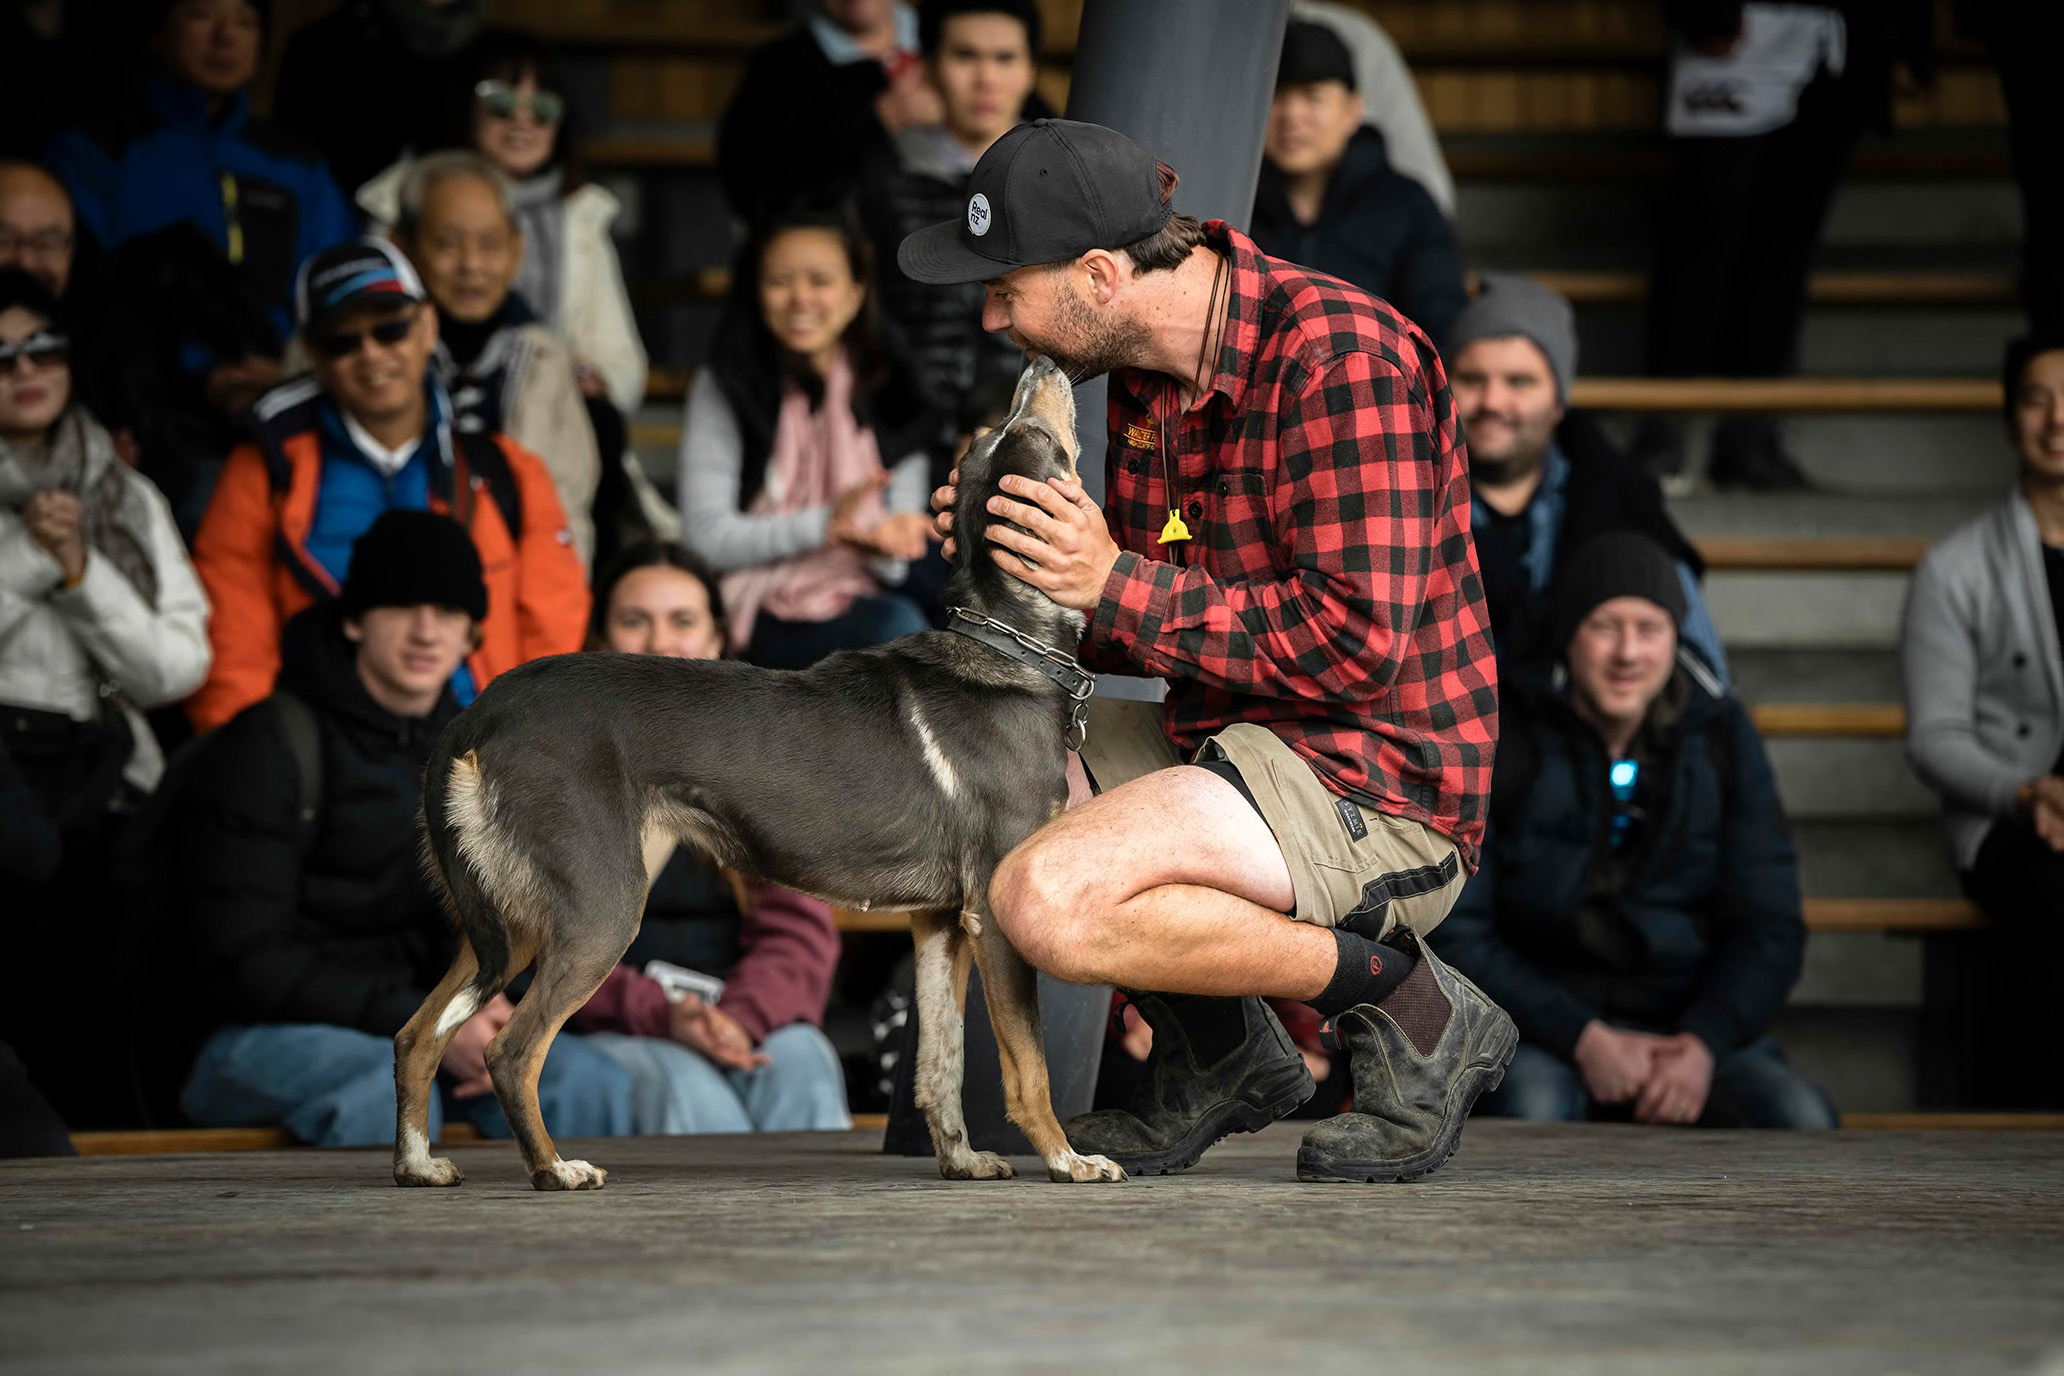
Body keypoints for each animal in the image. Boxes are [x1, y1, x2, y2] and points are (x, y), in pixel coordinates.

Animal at [392, 361, 1122, 1188]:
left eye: (997, 435)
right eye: (1031, 436)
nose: (1039, 364)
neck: (1007, 647)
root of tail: (477, 714)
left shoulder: (938, 921)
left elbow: (939, 1062)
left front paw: (960, 1158)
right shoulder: (995, 911)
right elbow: (1027, 1063)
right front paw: (1067, 1159)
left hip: (509, 919)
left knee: (418, 1035)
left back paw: (418, 1164)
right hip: (597, 910)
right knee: (510, 1050)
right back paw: (556, 1169)